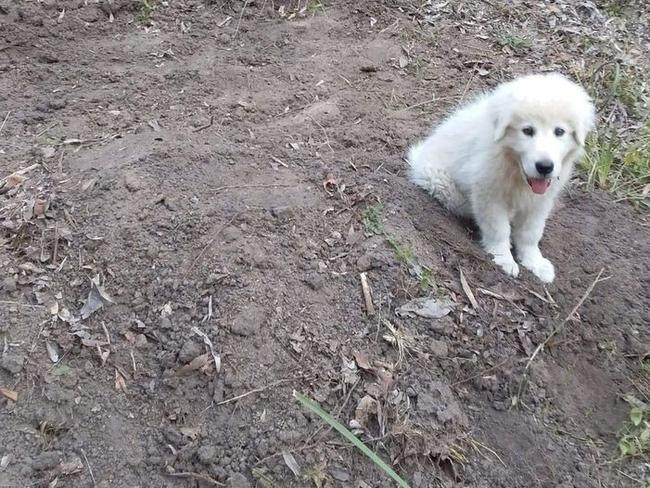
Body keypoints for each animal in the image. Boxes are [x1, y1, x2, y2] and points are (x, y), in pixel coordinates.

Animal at [408, 72, 596, 282]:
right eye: (528, 130)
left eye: (559, 131)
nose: (545, 167)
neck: (515, 169)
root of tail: (418, 157)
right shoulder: (489, 193)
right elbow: (498, 229)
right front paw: (503, 258)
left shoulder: (540, 201)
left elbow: (531, 232)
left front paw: (534, 262)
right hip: (442, 183)